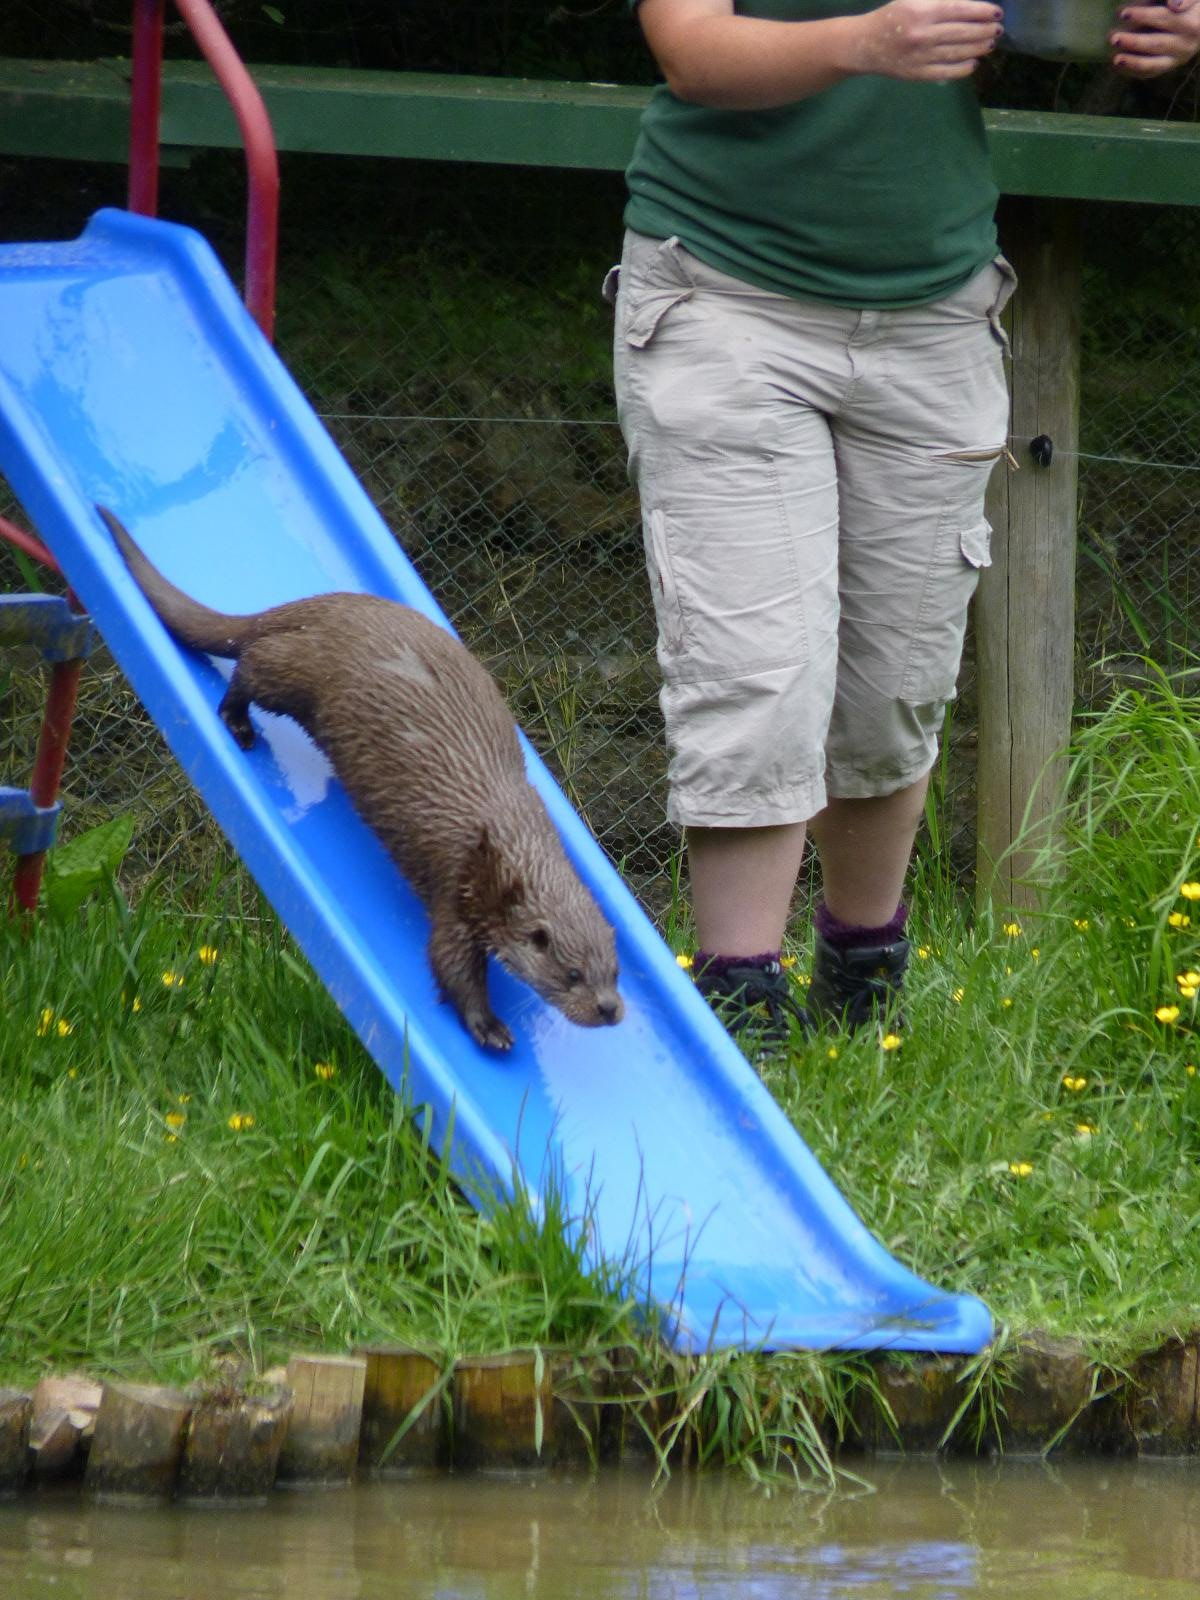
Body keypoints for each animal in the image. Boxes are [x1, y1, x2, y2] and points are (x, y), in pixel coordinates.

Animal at [98, 506, 623, 1050]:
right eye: (573, 974)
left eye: (614, 972)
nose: (610, 1009)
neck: (505, 843)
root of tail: (334, 605)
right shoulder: (456, 892)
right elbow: (450, 964)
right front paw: (489, 1027)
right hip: (299, 674)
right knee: (251, 665)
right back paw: (238, 724)